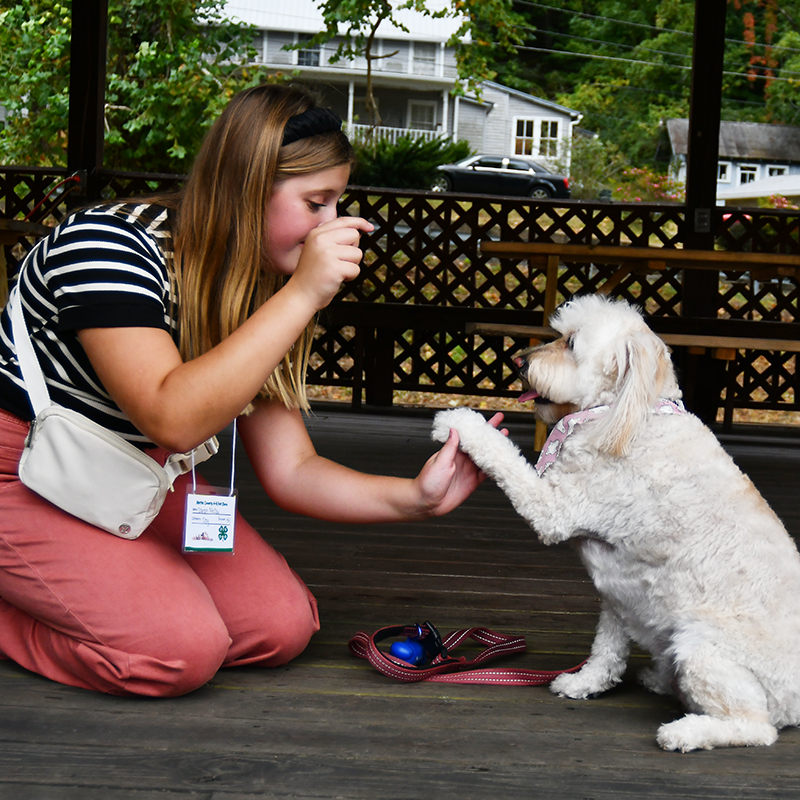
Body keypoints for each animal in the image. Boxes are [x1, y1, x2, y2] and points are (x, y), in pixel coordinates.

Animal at [434, 294, 800, 752]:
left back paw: (686, 731)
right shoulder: (618, 590)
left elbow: (503, 455)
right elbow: (606, 649)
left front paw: (460, 420)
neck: (621, 413)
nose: (520, 361)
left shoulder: (553, 508)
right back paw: (661, 679)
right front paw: (584, 683)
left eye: (572, 343)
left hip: (703, 646)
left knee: (756, 726)